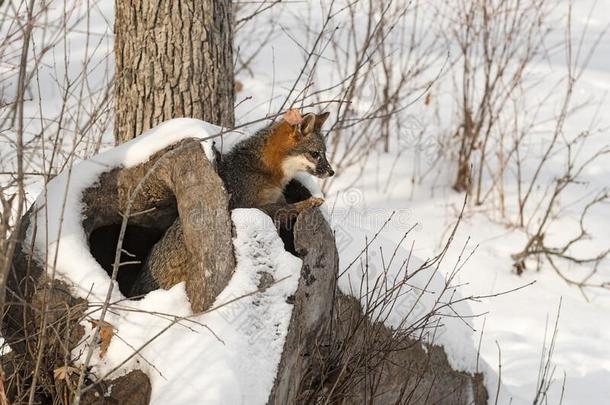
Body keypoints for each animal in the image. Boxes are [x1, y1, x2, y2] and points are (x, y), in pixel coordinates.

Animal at [129, 110, 334, 296]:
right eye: (315, 154)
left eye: (324, 154)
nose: (331, 172)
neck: (264, 172)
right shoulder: (250, 206)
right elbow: (286, 207)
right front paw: (309, 202)